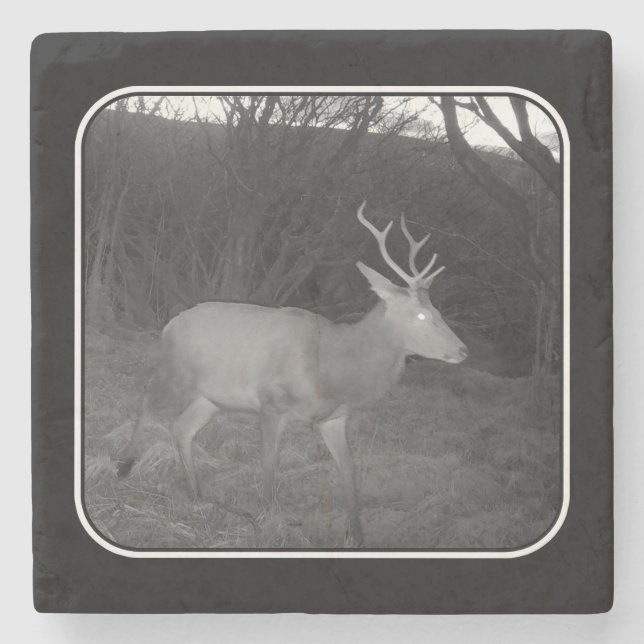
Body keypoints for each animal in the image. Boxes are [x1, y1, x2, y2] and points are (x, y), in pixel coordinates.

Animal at [116, 201, 467, 547]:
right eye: (421, 315)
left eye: (437, 310)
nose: (463, 350)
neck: (334, 368)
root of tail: (170, 325)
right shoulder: (272, 402)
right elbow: (270, 465)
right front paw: (267, 523)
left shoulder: (334, 418)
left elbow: (349, 471)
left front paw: (356, 535)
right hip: (177, 373)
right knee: (146, 399)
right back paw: (124, 465)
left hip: (211, 397)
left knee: (181, 427)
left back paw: (198, 494)